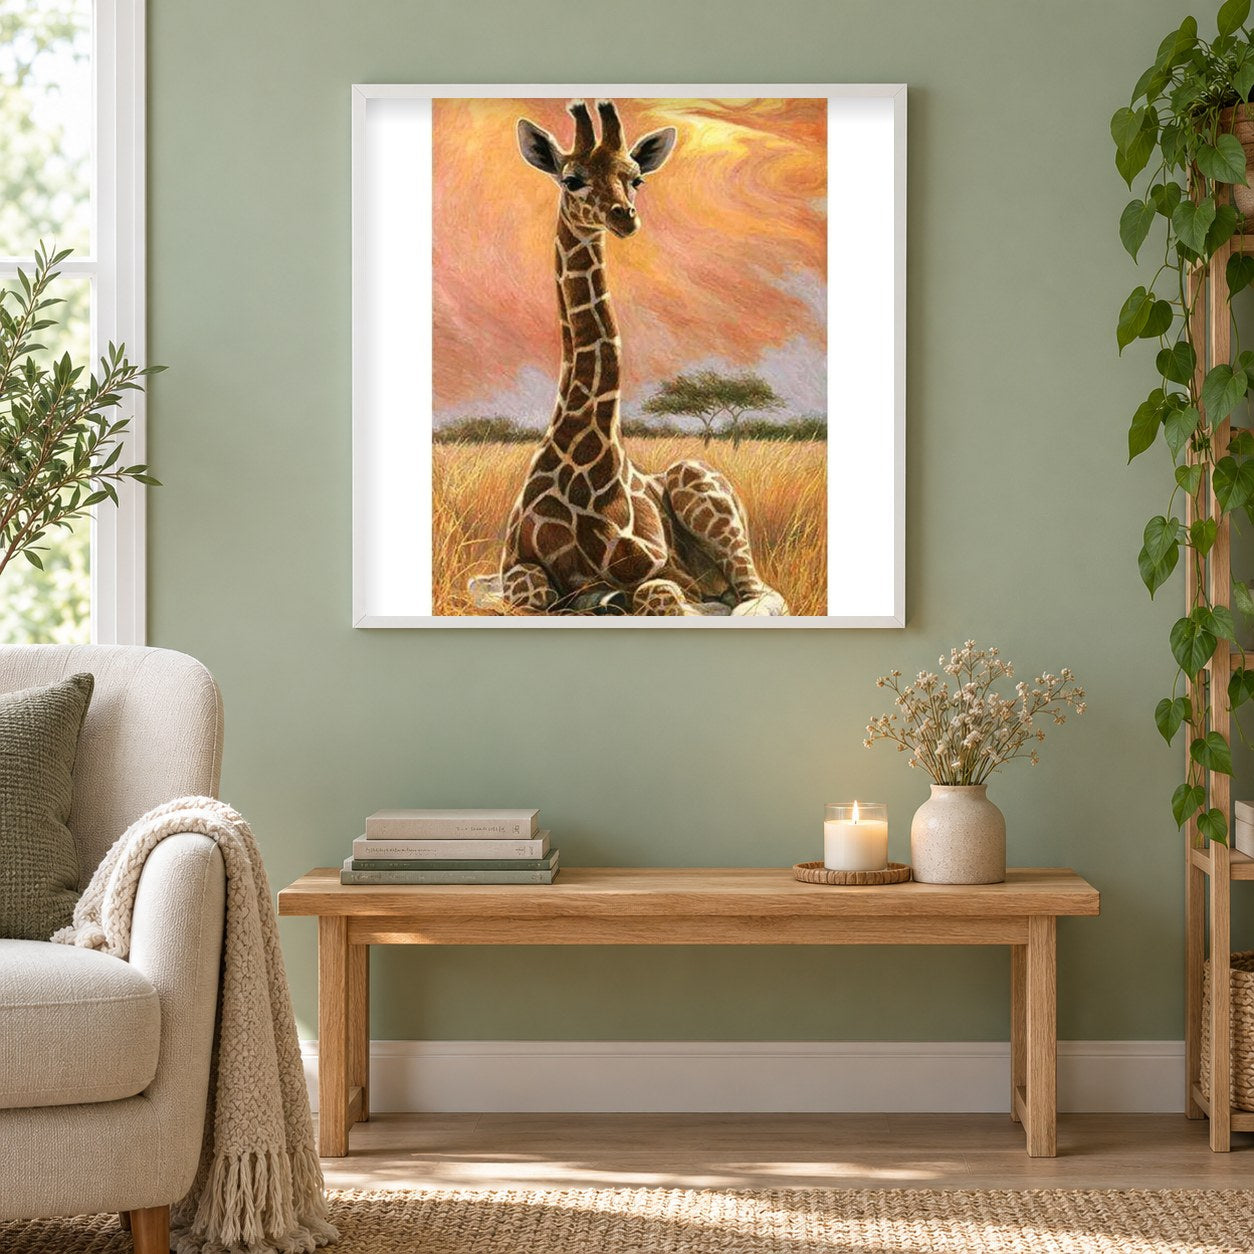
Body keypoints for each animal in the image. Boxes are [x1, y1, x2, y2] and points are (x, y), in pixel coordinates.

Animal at [493, 99, 789, 618]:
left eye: (636, 179)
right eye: (571, 179)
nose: (624, 217)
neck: (586, 460)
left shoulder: (663, 572)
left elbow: (662, 596)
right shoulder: (516, 565)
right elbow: (535, 592)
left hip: (699, 479)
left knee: (760, 594)